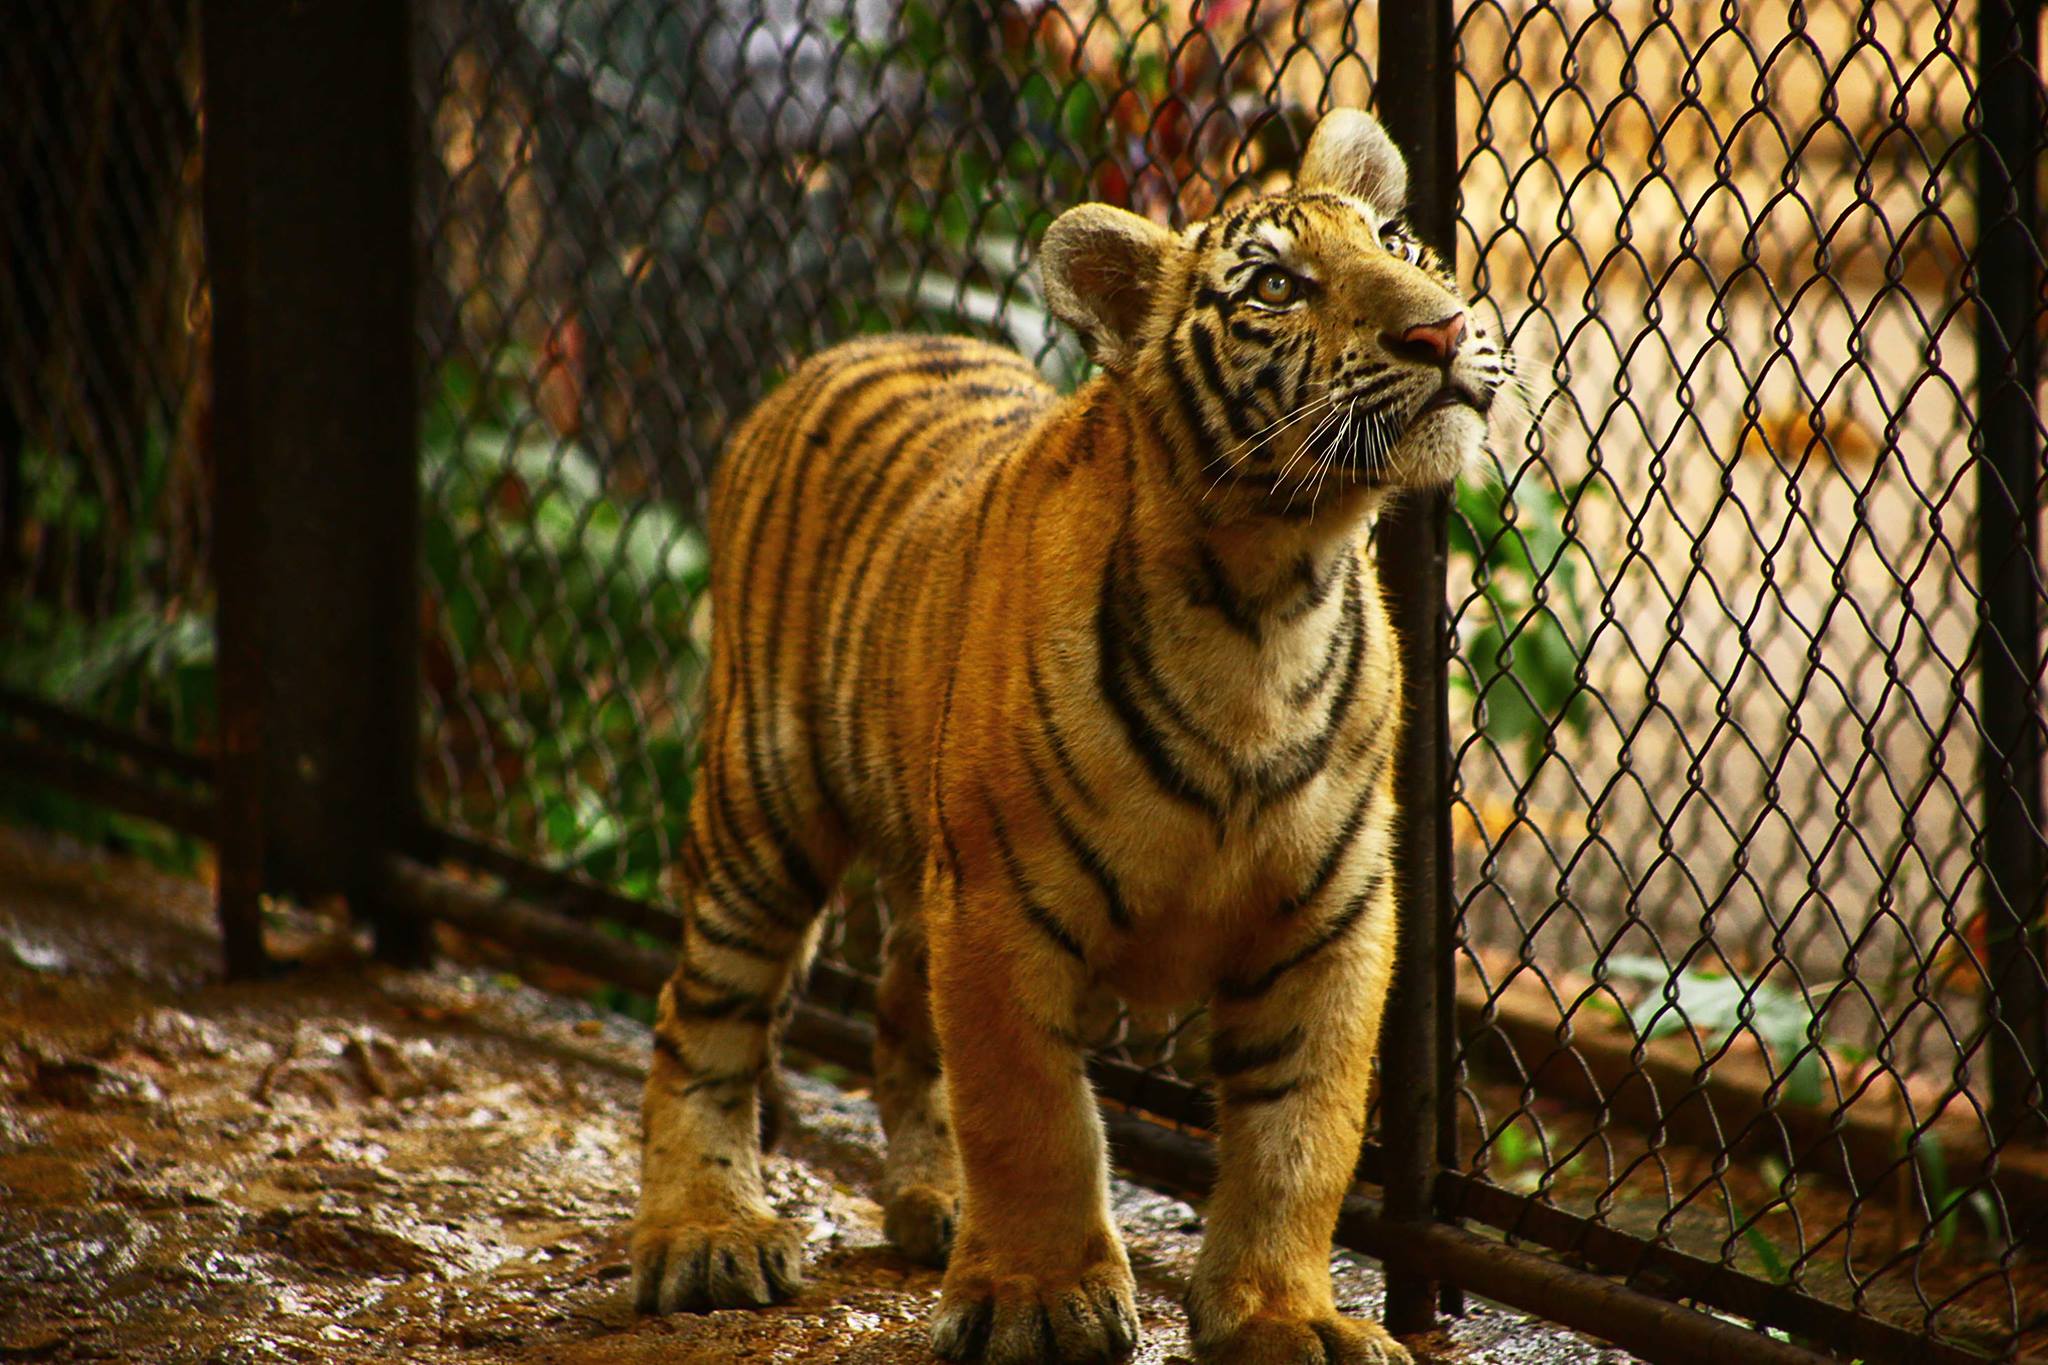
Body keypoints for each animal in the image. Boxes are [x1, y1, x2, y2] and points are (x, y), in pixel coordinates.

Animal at [630, 108, 1515, 1365]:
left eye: (1396, 241)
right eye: (1277, 286)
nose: (1439, 328)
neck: (1268, 594)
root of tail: (846, 346)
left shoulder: (1331, 914)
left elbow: (1299, 1139)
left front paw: (1282, 1317)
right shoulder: (1003, 904)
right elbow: (1032, 1116)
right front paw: (1039, 1299)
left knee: (898, 1017)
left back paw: (935, 1203)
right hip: (766, 811)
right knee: (700, 1019)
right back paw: (704, 1234)